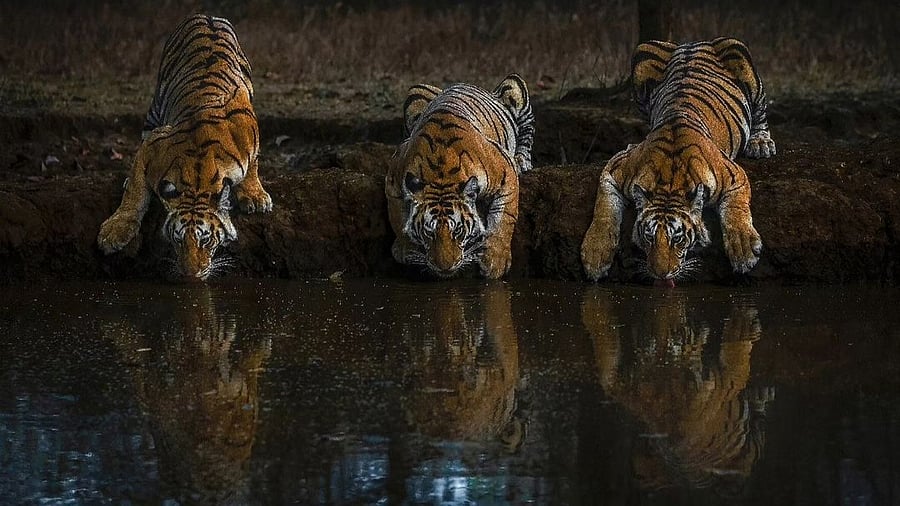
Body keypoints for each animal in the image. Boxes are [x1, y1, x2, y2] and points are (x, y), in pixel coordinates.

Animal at [96, 14, 271, 281]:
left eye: (206, 240)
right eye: (177, 240)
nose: (191, 275)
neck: (199, 176)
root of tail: (206, 16)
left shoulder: (249, 132)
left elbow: (253, 164)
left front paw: (254, 195)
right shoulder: (153, 143)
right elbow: (135, 191)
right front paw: (115, 231)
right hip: (156, 108)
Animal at [385, 74, 535, 279]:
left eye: (458, 231)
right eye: (428, 233)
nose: (444, 268)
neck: (441, 175)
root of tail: (466, 83)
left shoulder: (505, 172)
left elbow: (504, 217)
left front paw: (495, 262)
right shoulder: (394, 175)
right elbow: (397, 217)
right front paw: (405, 249)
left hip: (514, 86)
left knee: (527, 131)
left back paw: (522, 160)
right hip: (417, 91)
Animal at [581, 37, 776, 286]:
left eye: (678, 239)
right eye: (649, 237)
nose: (660, 274)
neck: (670, 182)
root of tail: (693, 42)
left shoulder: (734, 175)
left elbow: (736, 209)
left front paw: (744, 250)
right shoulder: (616, 169)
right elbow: (604, 210)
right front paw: (595, 256)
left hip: (739, 53)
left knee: (761, 111)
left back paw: (761, 143)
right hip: (642, 53)